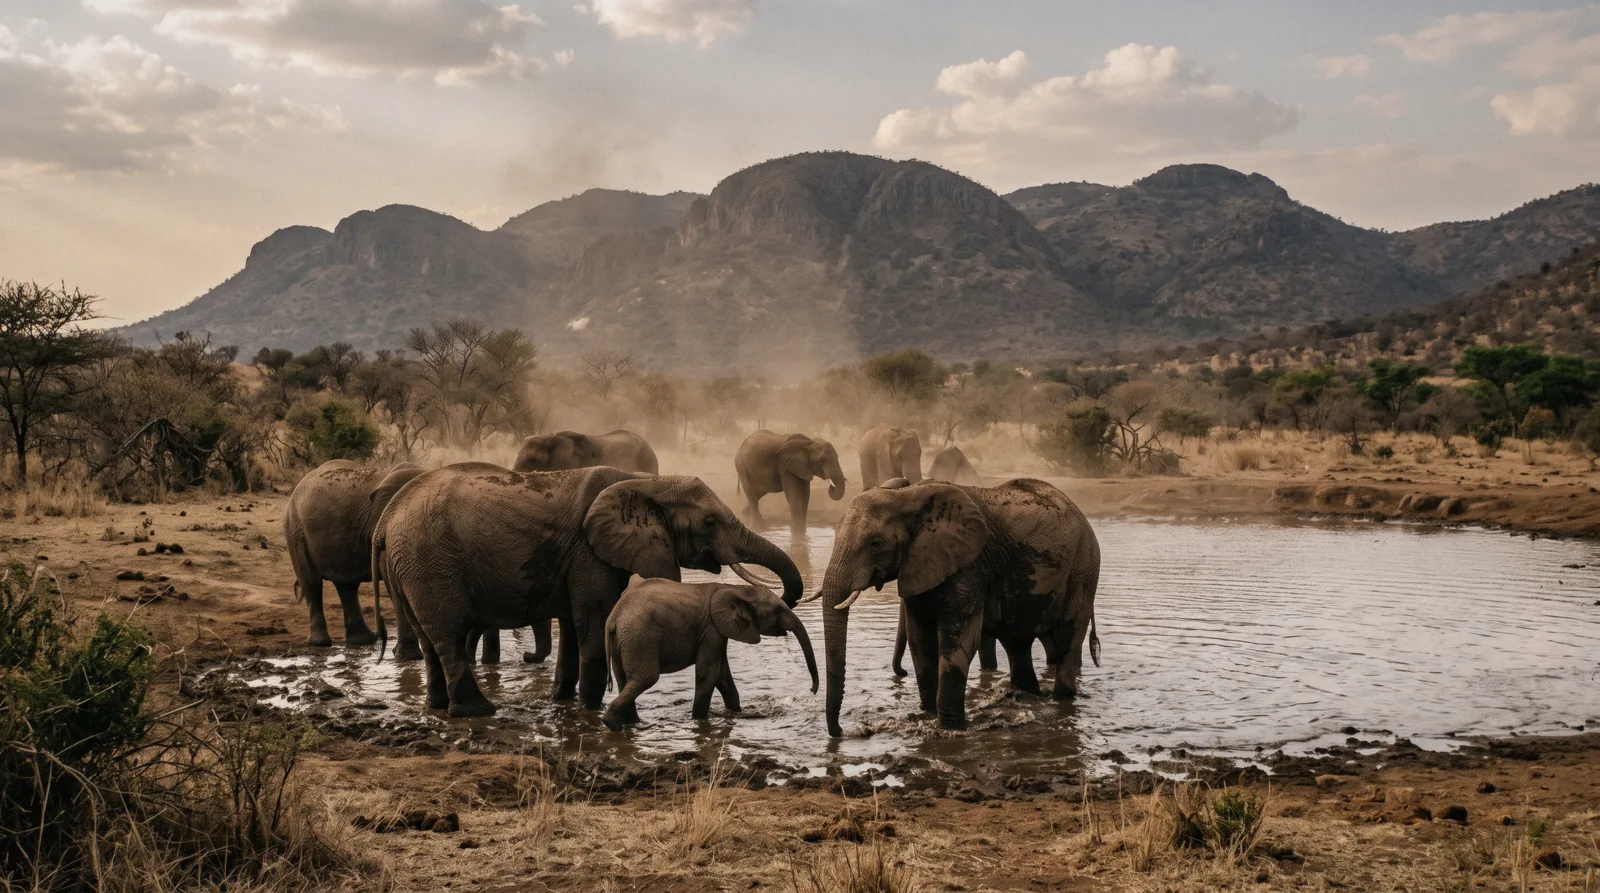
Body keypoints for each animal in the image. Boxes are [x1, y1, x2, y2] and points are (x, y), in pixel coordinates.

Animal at [373, 464, 802, 717]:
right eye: (710, 522)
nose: (786, 598)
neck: (645, 481)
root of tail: (388, 517)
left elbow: (571, 626)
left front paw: (562, 700)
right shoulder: (587, 551)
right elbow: (594, 620)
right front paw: (592, 708)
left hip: (410, 568)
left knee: (430, 639)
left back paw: (438, 706)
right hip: (430, 564)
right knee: (448, 636)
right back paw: (477, 711)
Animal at [602, 580, 817, 731]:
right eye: (778, 609)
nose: (812, 690)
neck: (736, 588)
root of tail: (613, 619)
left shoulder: (719, 630)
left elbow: (723, 676)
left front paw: (736, 714)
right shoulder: (712, 628)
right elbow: (708, 674)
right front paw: (699, 721)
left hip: (625, 642)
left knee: (624, 680)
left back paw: (633, 724)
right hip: (640, 639)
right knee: (645, 678)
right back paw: (612, 723)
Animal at [811, 478, 1100, 735]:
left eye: (876, 544)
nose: (841, 731)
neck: (906, 497)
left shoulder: (969, 567)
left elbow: (958, 643)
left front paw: (950, 730)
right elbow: (920, 644)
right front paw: (927, 717)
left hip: (1083, 569)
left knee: (1067, 637)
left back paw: (1061, 700)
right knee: (1017, 643)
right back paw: (1025, 698)